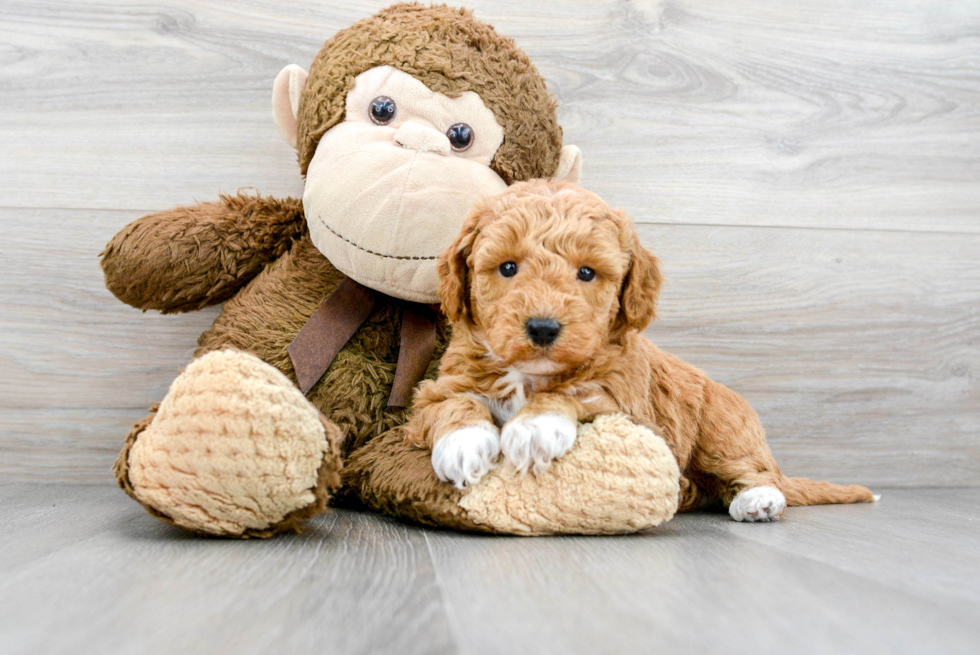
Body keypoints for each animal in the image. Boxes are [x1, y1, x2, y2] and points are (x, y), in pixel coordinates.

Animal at [404, 179, 872, 524]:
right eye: (507, 267)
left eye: (586, 273)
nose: (543, 327)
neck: (531, 374)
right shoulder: (438, 388)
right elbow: (453, 404)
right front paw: (464, 444)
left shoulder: (629, 404)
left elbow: (576, 392)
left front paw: (535, 427)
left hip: (724, 429)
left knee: (754, 470)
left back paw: (758, 500)